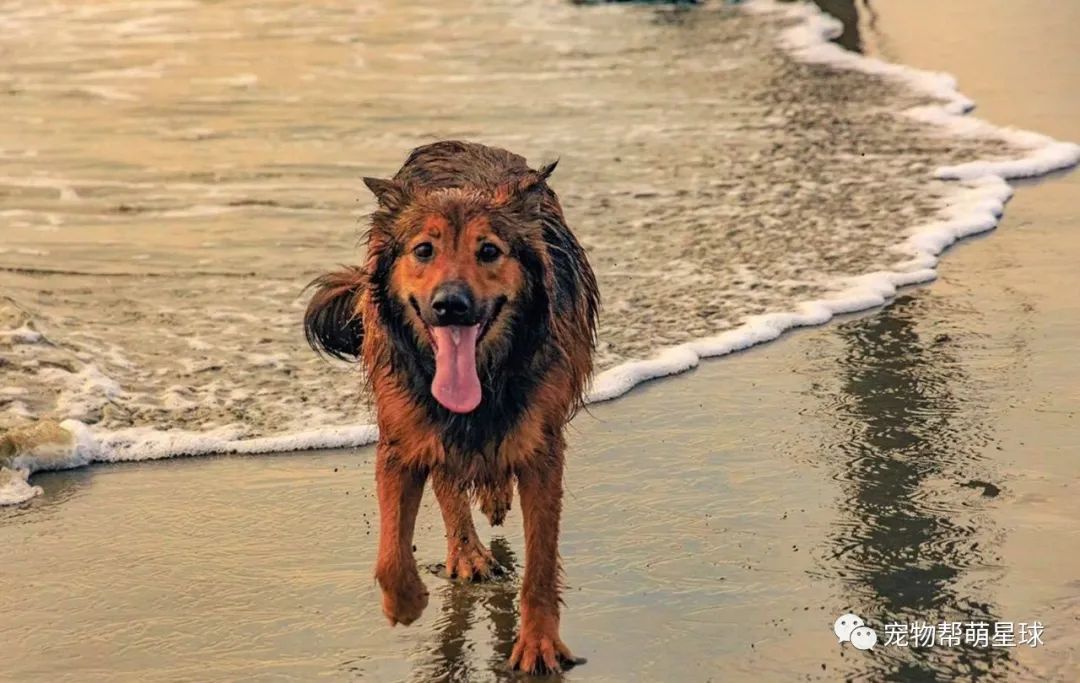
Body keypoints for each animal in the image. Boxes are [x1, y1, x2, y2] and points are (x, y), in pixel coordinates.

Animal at [304, 138, 600, 674]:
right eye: (424, 249)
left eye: (489, 251)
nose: (451, 305)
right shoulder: (402, 437)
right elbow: (390, 552)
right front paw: (406, 601)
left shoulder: (542, 448)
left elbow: (541, 562)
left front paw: (539, 641)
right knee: (447, 480)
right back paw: (467, 553)